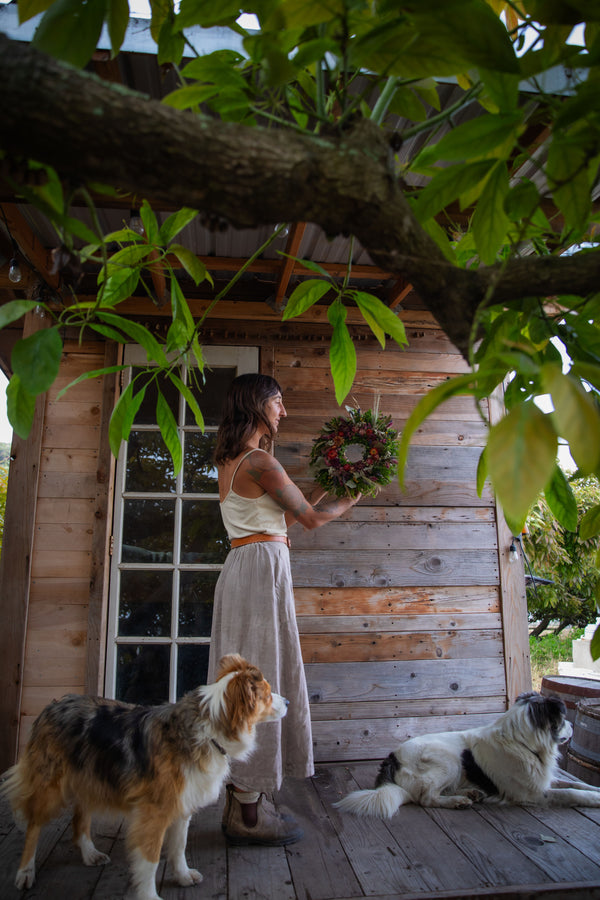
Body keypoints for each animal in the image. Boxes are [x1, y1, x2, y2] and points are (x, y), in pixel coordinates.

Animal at [2, 652, 288, 900]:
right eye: (267, 693)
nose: (286, 702)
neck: (207, 729)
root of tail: (52, 705)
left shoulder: (183, 804)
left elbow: (179, 847)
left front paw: (183, 876)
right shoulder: (154, 813)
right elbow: (150, 860)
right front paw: (149, 896)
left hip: (91, 777)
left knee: (80, 817)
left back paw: (90, 853)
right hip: (50, 787)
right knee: (34, 825)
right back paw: (25, 872)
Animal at [336, 692, 600, 820]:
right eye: (563, 719)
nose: (573, 726)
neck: (523, 742)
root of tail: (392, 758)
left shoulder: (544, 780)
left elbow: (576, 783)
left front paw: (595, 789)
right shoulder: (531, 793)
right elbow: (571, 792)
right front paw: (594, 799)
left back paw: (472, 793)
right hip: (449, 760)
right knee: (426, 798)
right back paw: (458, 801)